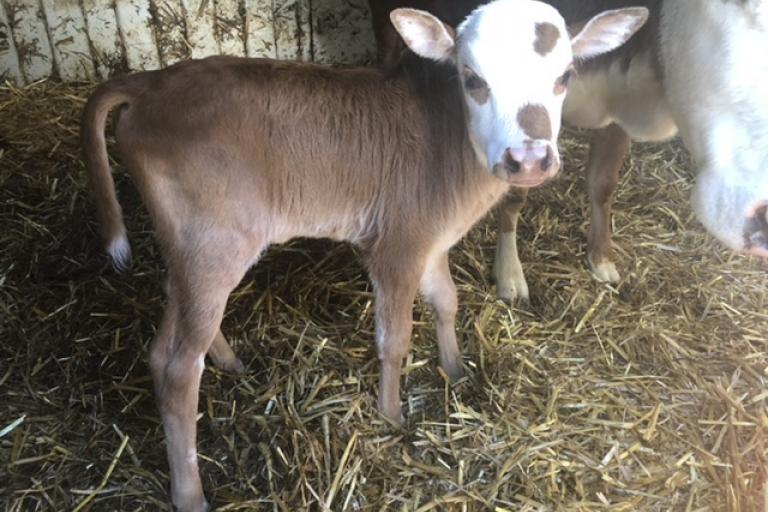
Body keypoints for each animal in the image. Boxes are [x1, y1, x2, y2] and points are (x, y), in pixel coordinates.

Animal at [81, 2, 648, 510]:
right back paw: (190, 493)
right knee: (178, 367)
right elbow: (393, 339)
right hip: (216, 242)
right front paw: (392, 414)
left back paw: (230, 360)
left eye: (565, 76)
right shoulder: (396, 246)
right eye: (472, 78)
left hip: (189, 246)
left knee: (169, 323)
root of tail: (151, 83)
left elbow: (446, 300)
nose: (528, 159)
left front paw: (456, 368)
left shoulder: (431, 238)